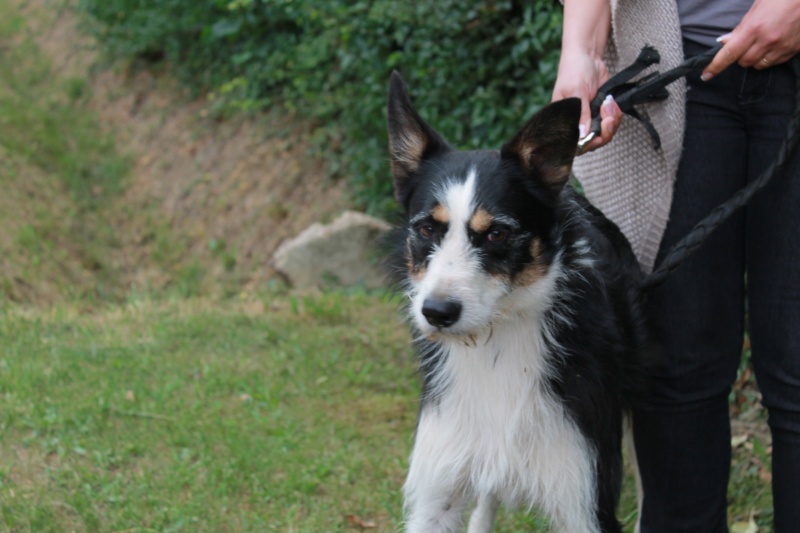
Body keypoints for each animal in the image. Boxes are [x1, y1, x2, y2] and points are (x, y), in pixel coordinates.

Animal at [386, 70, 648, 532]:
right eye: (426, 229)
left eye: (497, 234)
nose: (437, 313)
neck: (495, 339)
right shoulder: (436, 496)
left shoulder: (586, 502)